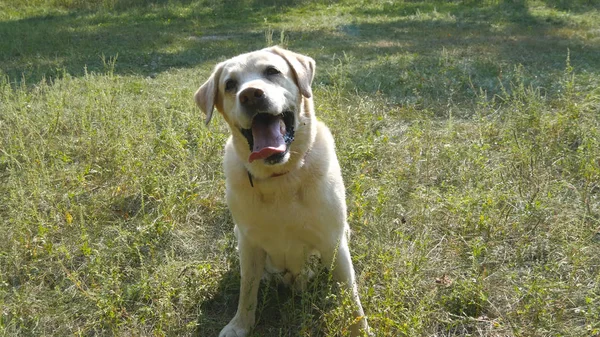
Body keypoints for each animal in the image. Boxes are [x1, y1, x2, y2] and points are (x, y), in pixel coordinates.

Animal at [195, 46, 368, 336]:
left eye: (272, 71)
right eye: (229, 85)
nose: (250, 94)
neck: (280, 178)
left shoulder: (333, 241)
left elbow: (351, 298)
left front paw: (361, 330)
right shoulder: (249, 243)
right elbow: (247, 290)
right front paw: (240, 325)